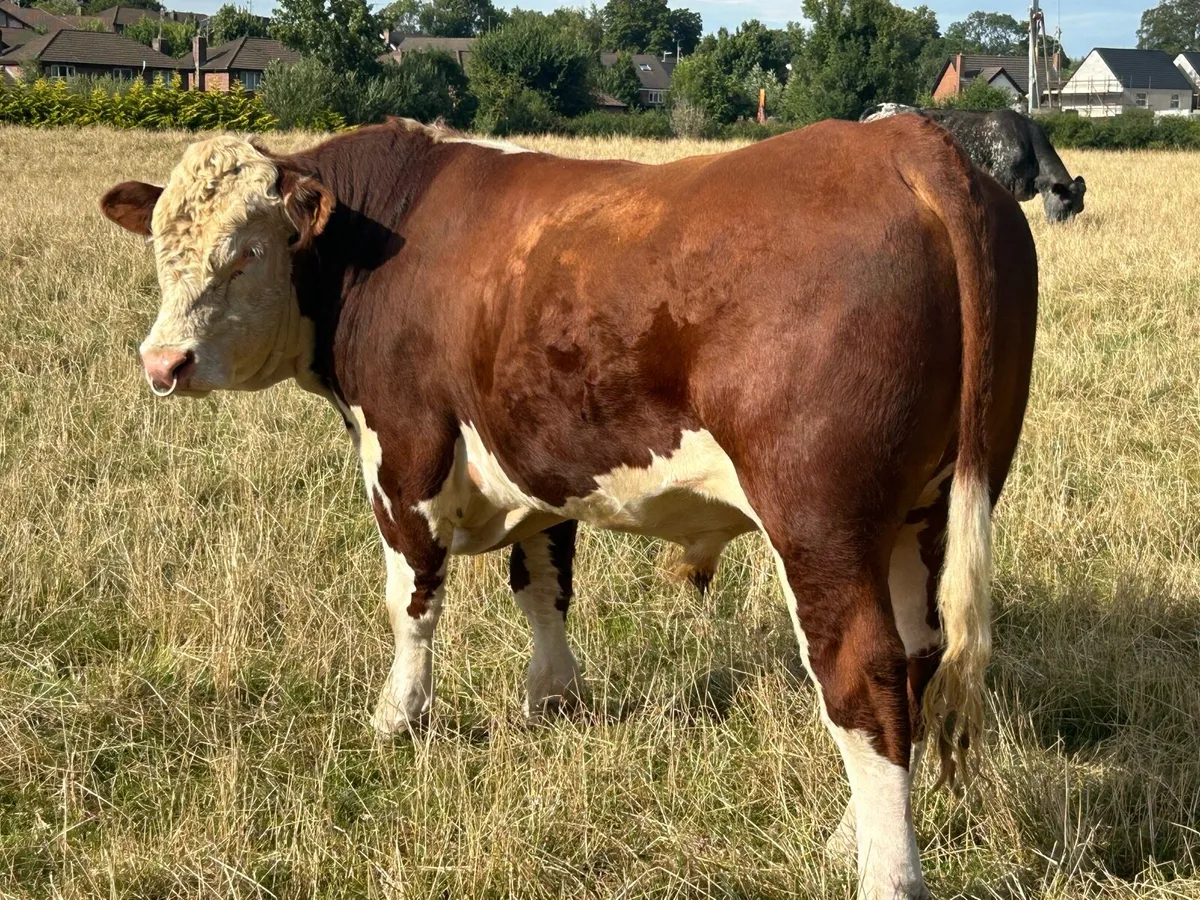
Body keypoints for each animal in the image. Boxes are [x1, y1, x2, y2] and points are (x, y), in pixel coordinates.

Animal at [100, 116, 1037, 900]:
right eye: (160, 250)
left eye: (247, 252)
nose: (162, 363)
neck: (388, 236)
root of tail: (905, 141)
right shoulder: (538, 453)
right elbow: (543, 583)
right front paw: (552, 698)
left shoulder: (404, 451)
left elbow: (412, 603)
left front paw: (399, 719)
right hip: (927, 509)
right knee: (916, 657)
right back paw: (850, 838)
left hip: (821, 520)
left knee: (862, 678)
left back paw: (887, 872)